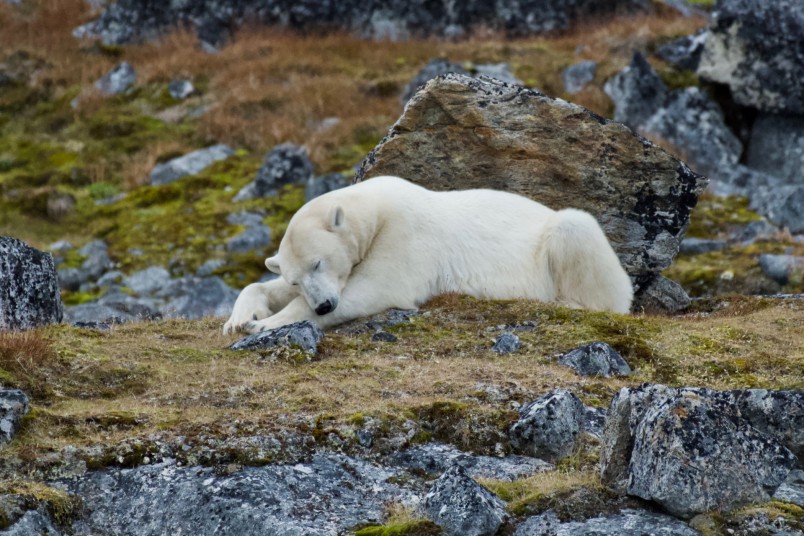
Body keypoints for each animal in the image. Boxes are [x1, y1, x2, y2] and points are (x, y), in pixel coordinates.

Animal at [223, 176, 632, 336]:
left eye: (318, 262)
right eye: (297, 278)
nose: (324, 304)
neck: (376, 208)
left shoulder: (405, 235)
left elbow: (377, 288)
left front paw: (266, 324)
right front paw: (240, 317)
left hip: (565, 241)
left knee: (577, 233)